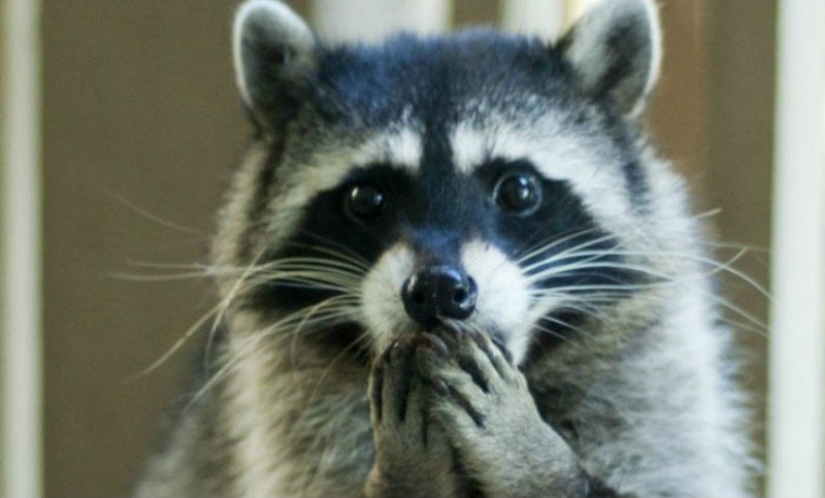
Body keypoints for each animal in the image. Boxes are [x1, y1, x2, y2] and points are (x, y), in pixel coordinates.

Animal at [135, 0, 754, 496]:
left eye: (518, 189)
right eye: (365, 197)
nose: (437, 288)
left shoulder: (655, 385)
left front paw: (531, 458)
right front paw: (410, 473)